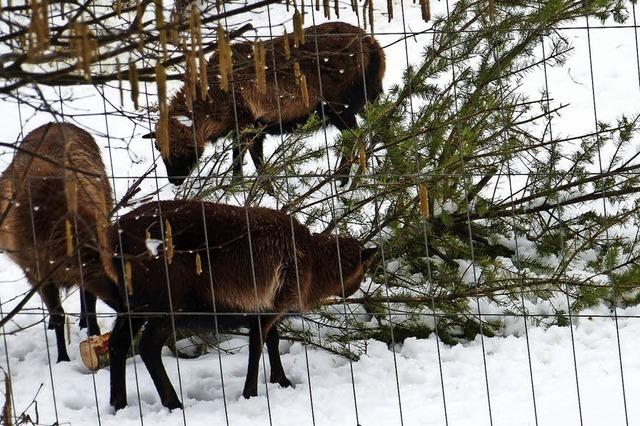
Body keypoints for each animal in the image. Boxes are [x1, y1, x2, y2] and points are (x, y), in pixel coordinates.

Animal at [105, 201, 376, 412]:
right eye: (365, 269)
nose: (351, 291)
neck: (313, 264)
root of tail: (114, 239)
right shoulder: (273, 303)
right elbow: (257, 346)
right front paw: (251, 393)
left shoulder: (267, 307)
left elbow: (273, 341)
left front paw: (281, 381)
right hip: (169, 303)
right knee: (148, 347)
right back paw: (174, 404)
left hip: (133, 305)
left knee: (117, 343)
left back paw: (119, 404)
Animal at [145, 20, 384, 186]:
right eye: (157, 147)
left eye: (178, 146)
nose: (173, 180)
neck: (214, 103)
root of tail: (373, 45)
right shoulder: (240, 130)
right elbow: (238, 161)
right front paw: (235, 187)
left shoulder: (251, 125)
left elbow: (255, 163)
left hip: (339, 107)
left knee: (356, 137)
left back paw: (343, 180)